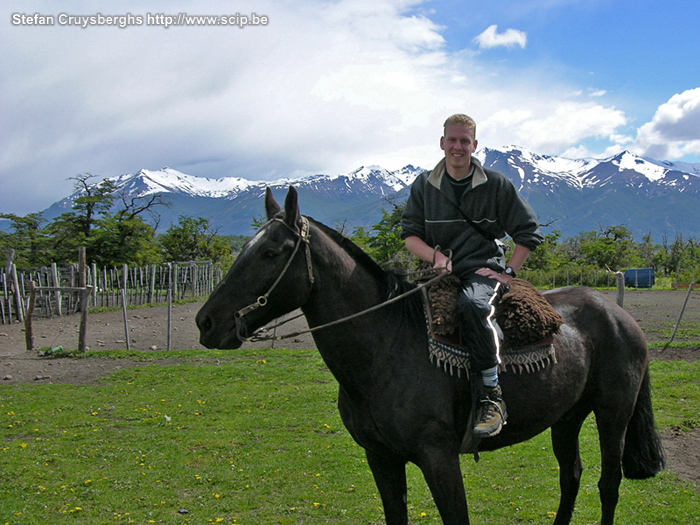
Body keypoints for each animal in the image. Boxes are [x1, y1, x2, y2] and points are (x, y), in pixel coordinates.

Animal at [196, 187, 660, 524]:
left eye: (270, 252)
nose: (206, 322)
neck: (385, 348)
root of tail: (618, 314)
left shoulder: (439, 461)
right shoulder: (381, 460)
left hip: (612, 414)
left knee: (608, 484)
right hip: (567, 416)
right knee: (571, 476)